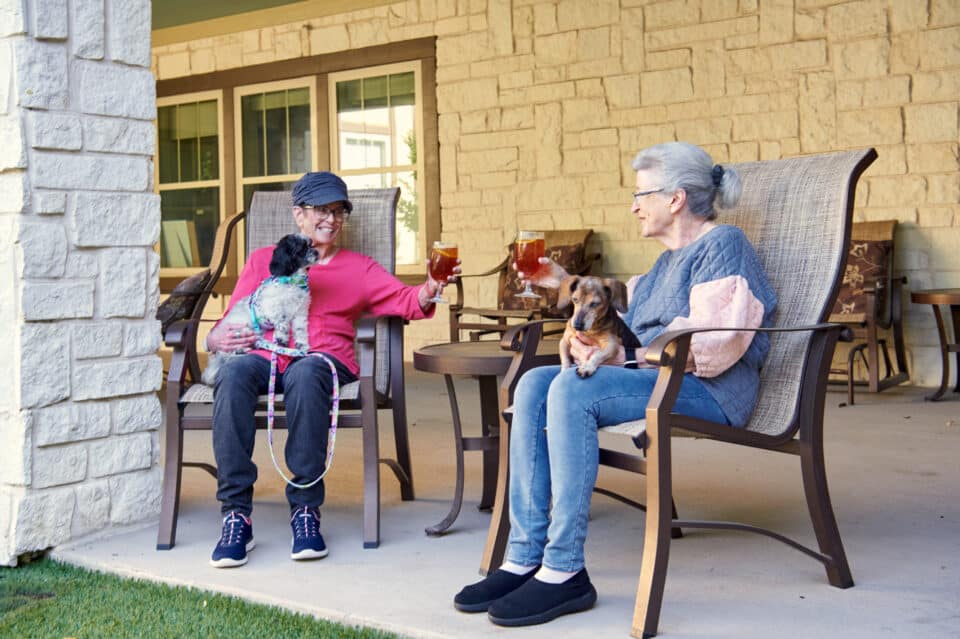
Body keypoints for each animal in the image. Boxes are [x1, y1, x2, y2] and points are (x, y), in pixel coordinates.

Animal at [202, 235, 318, 384]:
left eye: (311, 245)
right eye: (302, 249)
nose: (316, 252)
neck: (293, 282)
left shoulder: (300, 312)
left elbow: (300, 330)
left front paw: (302, 346)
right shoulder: (270, 307)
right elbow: (283, 322)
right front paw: (282, 338)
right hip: (243, 330)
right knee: (228, 352)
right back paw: (241, 350)